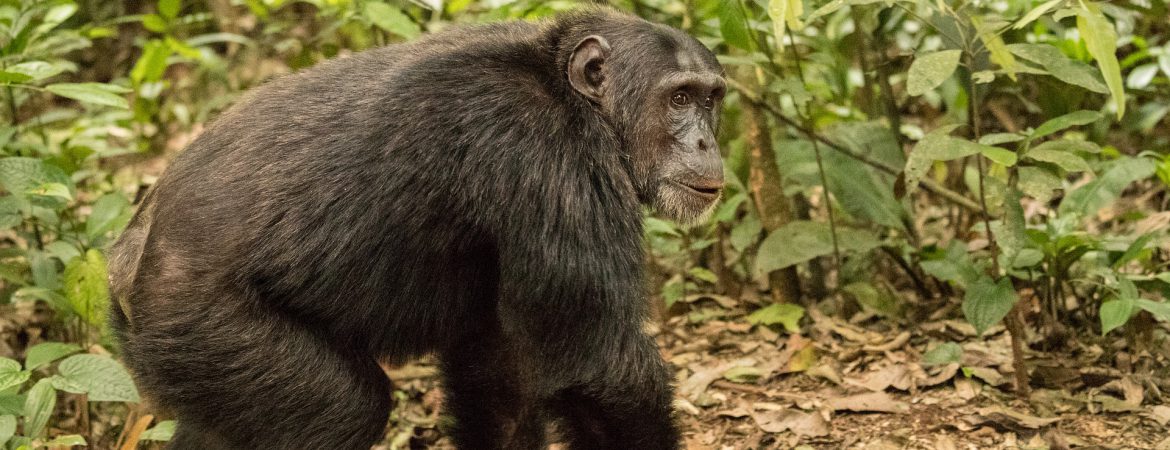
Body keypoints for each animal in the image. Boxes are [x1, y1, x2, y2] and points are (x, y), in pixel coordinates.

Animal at [108, 7, 725, 450]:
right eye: (678, 98)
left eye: (711, 99)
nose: (705, 141)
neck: (574, 99)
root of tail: (120, 264)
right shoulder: (547, 160)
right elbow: (601, 367)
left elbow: (501, 376)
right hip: (210, 330)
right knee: (339, 412)